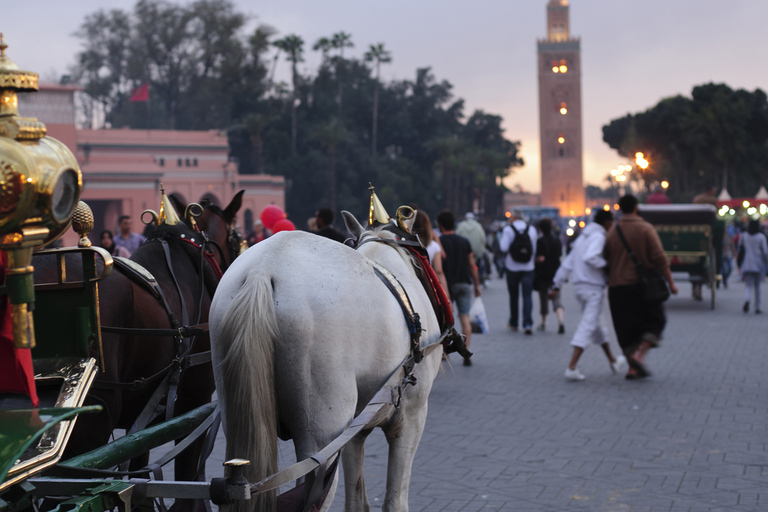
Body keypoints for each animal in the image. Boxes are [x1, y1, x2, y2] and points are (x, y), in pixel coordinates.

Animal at [212, 211, 444, 512]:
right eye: (424, 252)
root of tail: (262, 271)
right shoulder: (411, 418)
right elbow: (395, 501)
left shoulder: (355, 428)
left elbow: (357, 501)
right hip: (321, 439)